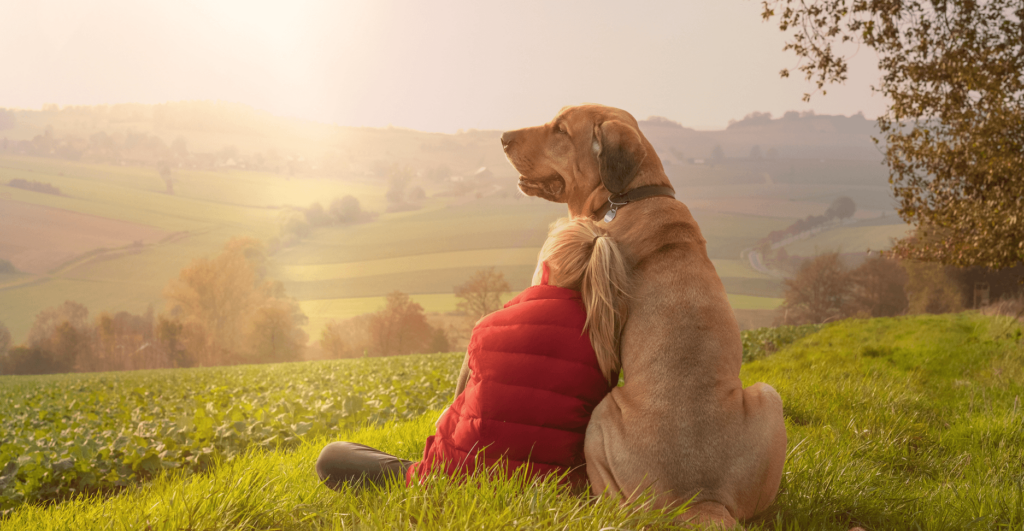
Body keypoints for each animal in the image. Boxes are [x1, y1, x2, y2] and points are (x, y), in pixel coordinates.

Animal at [499, 103, 786, 527]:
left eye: (561, 130)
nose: (503, 137)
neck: (628, 196)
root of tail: (699, 500)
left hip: (602, 416)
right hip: (769, 396)